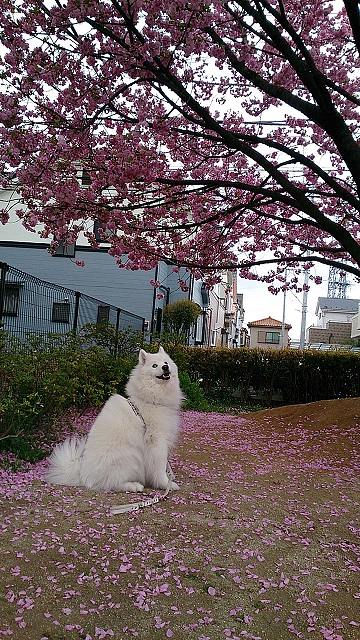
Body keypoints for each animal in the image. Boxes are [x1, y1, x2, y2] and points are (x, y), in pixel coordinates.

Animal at [45, 348, 183, 492]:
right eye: (154, 365)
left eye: (165, 362)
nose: (165, 367)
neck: (151, 400)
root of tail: (83, 476)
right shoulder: (157, 441)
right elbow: (160, 467)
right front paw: (166, 484)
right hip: (130, 458)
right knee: (113, 483)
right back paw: (133, 485)